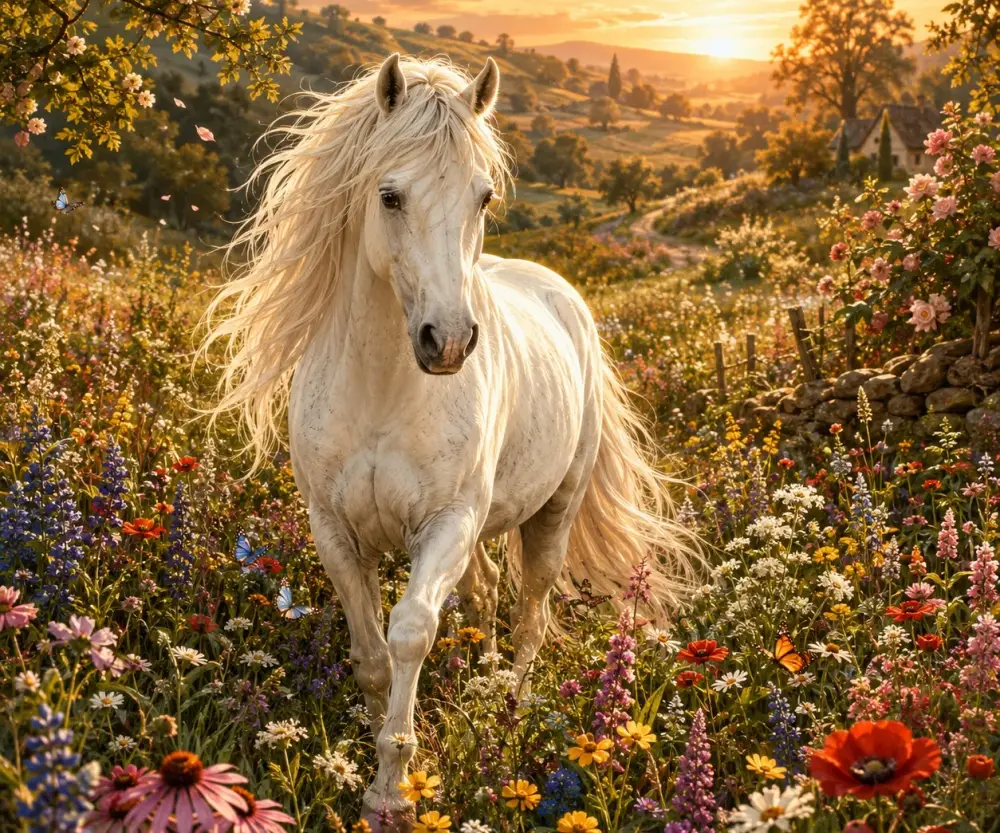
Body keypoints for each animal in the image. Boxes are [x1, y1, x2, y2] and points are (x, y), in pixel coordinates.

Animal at [203, 54, 698, 829]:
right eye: (390, 195)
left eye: (484, 198)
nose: (452, 341)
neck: (383, 388)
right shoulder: (334, 529)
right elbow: (371, 655)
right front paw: (374, 768)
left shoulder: (446, 524)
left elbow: (410, 631)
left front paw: (394, 790)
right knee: (489, 596)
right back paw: (482, 686)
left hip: (552, 512)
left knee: (530, 615)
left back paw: (506, 714)